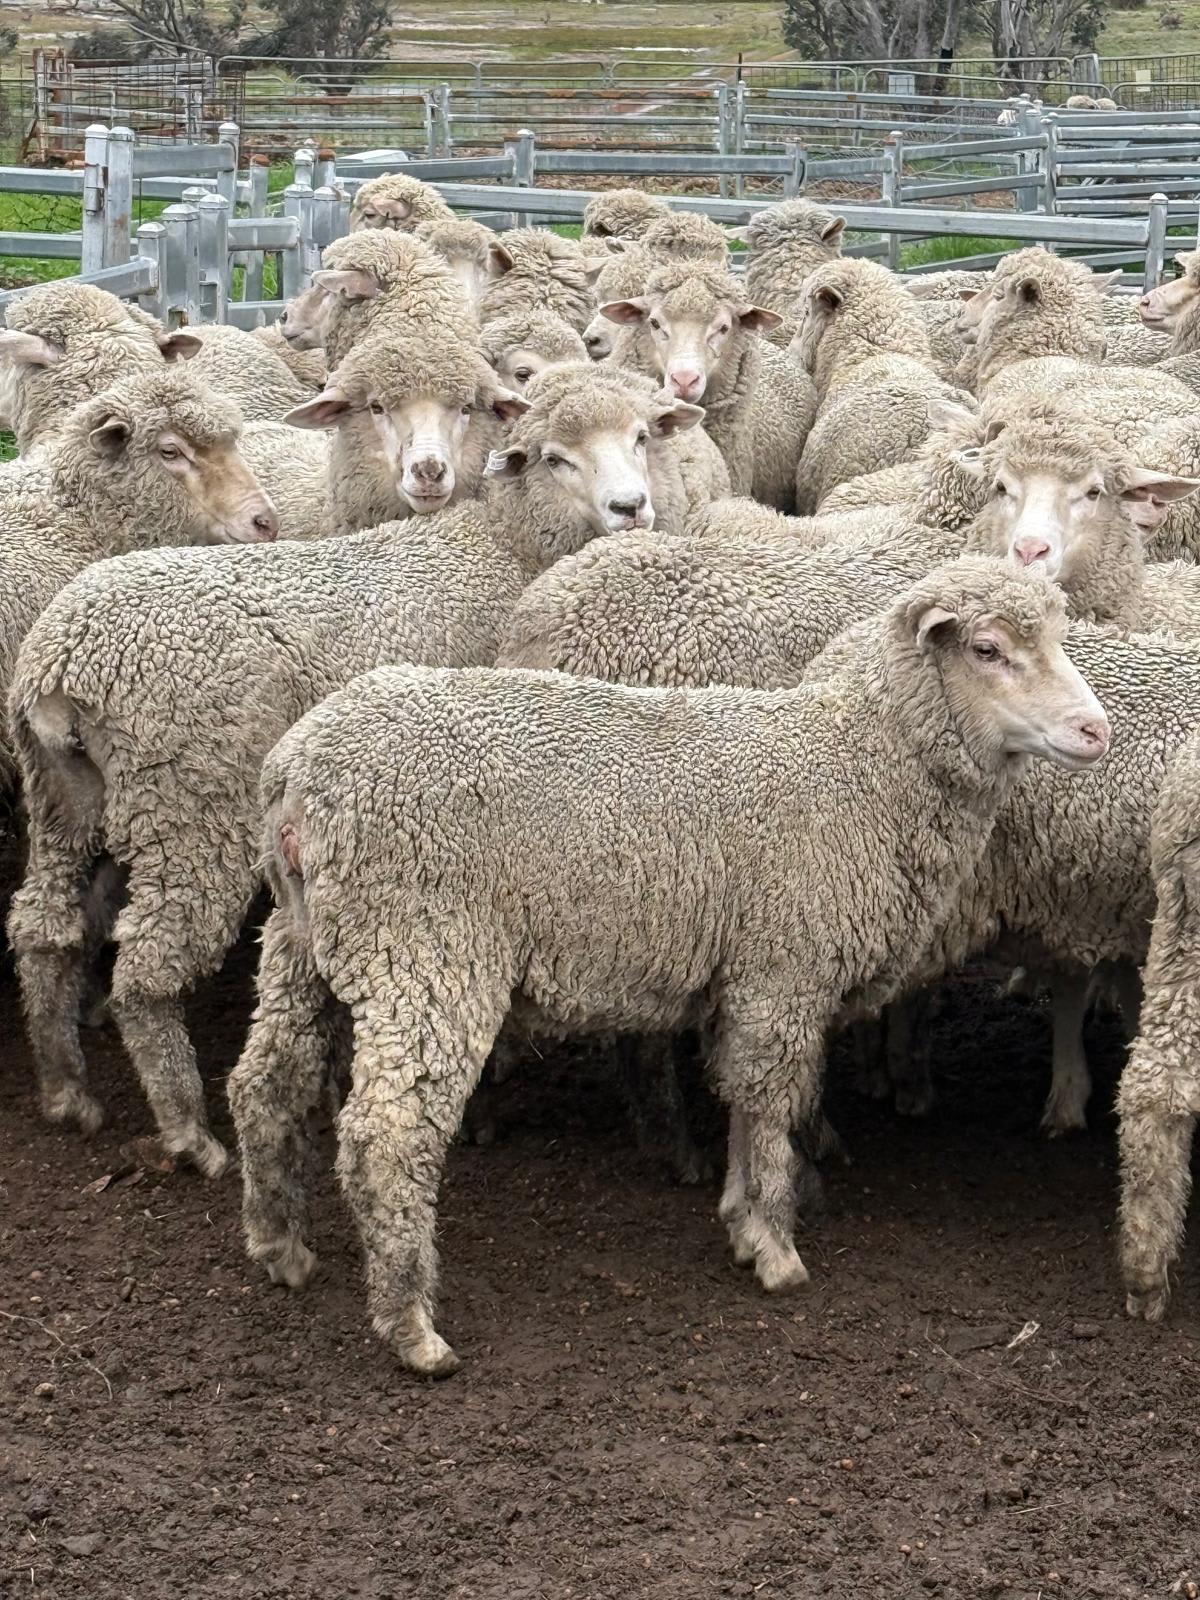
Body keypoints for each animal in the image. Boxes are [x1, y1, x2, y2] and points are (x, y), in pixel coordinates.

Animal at [229, 556, 1106, 1374]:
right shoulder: (783, 970)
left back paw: (280, 1248)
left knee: (264, 1083)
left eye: (1059, 637)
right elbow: (771, 1109)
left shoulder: (745, 982)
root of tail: (293, 772)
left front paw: (740, 1219)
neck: (858, 769)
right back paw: (411, 1325)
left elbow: (742, 1099)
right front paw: (775, 1247)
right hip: (426, 948)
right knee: (386, 1134)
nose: (1097, 731)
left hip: (307, 941)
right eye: (988, 650)